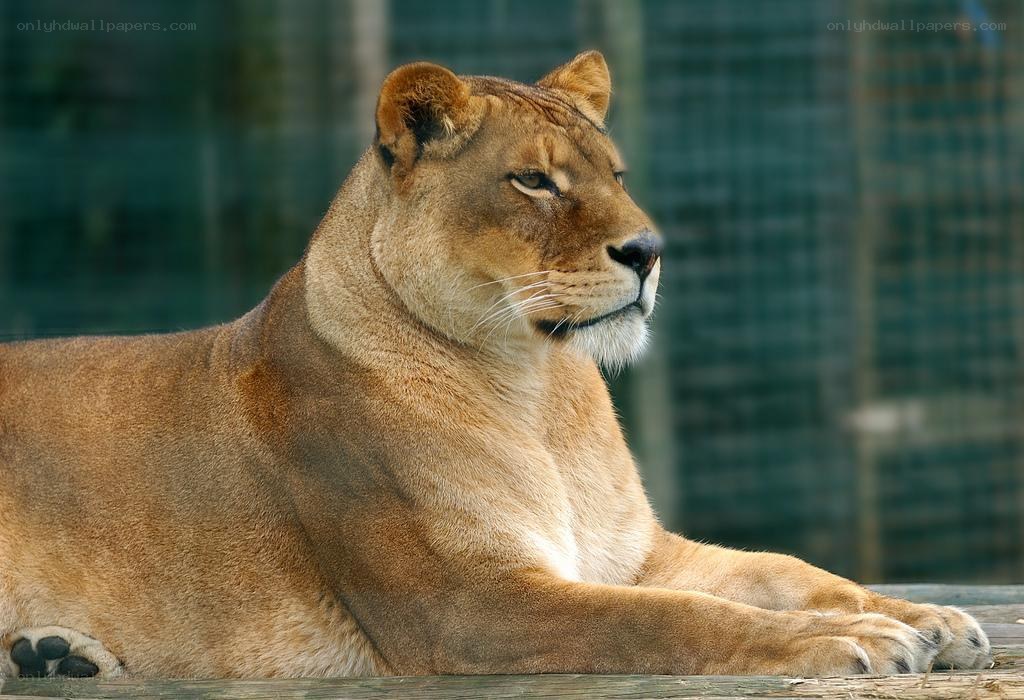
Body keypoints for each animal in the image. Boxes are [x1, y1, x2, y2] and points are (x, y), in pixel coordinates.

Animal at [0, 52, 990, 679]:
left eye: (616, 172)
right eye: (535, 181)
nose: (651, 251)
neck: (535, 384)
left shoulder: (634, 554)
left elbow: (787, 572)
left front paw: (925, 618)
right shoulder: (468, 602)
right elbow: (677, 620)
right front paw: (846, 641)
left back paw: (57, 657)